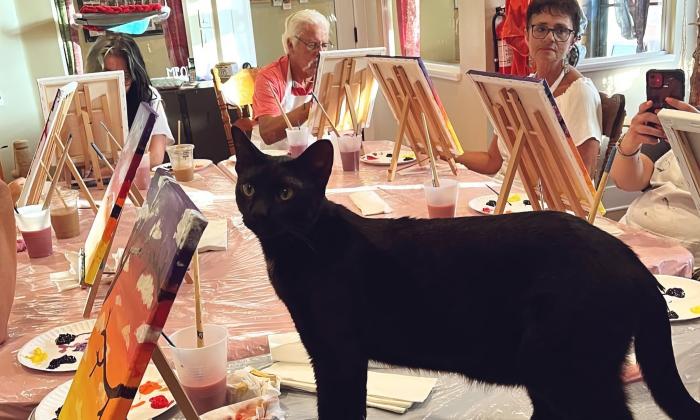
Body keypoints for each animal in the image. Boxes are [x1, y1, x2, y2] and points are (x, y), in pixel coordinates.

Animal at [234, 139, 700, 420]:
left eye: (286, 193)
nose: (258, 213)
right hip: (549, 376)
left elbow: (339, 410)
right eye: (249, 188)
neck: (297, 249)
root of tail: (631, 259)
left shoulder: (338, 356)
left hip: (568, 371)